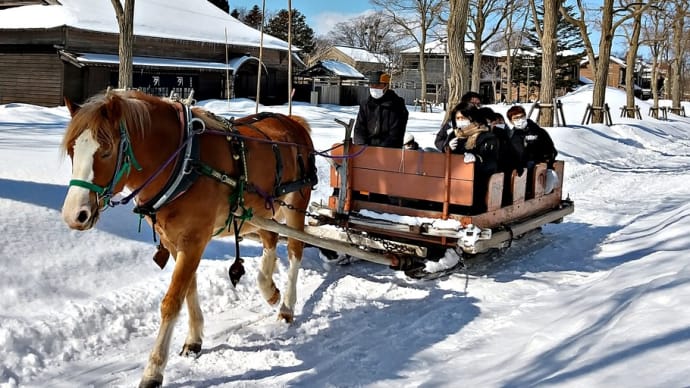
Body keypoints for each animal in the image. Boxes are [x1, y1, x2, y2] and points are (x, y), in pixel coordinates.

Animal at [59, 88, 318, 388]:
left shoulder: (194, 240)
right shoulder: (176, 241)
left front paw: (153, 370)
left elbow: (172, 301)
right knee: (271, 238)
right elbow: (189, 289)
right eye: (71, 151)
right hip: (259, 210)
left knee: (295, 249)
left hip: (295, 204)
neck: (183, 161)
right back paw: (269, 289)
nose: (74, 215)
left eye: (107, 149)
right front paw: (194, 340)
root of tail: (293, 122)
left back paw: (286, 305)